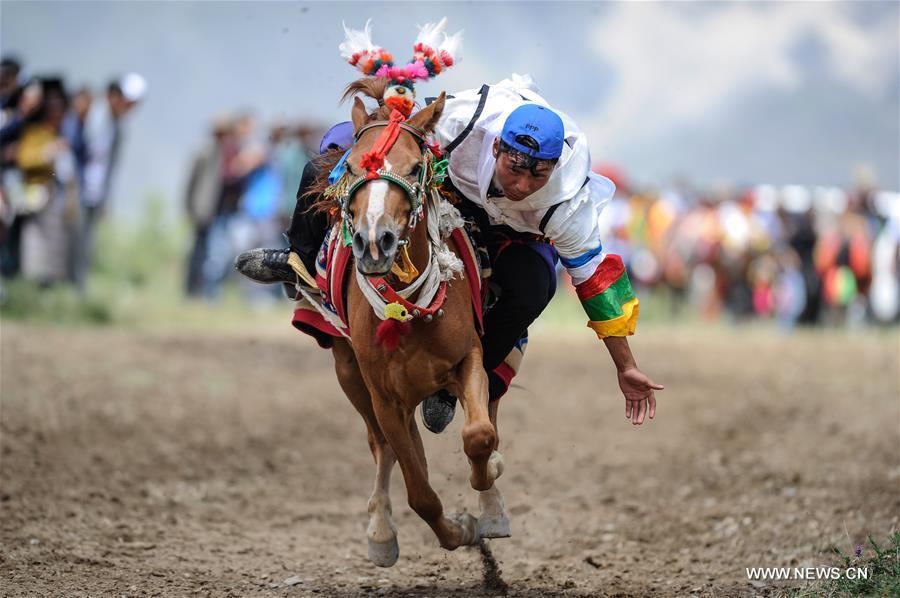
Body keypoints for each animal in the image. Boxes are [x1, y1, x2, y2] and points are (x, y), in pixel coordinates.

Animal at [320, 78, 506, 568]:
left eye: (415, 166)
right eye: (351, 167)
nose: (374, 241)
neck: (408, 311)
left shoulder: (468, 358)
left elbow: (480, 435)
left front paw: (485, 487)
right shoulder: (385, 398)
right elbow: (419, 490)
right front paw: (457, 531)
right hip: (350, 374)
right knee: (382, 447)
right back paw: (381, 529)